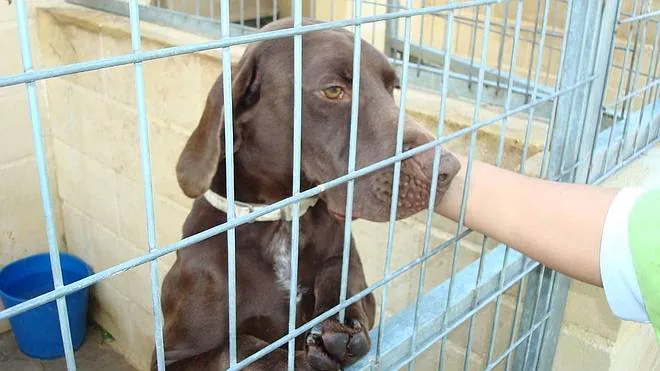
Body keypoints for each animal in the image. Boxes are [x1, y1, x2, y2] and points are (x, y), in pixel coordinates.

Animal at [152, 16, 462, 370]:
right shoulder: (169, 355)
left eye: (392, 88)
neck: (282, 220)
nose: (448, 169)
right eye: (333, 90)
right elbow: (240, 347)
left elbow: (340, 268)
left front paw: (340, 320)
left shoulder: (357, 277)